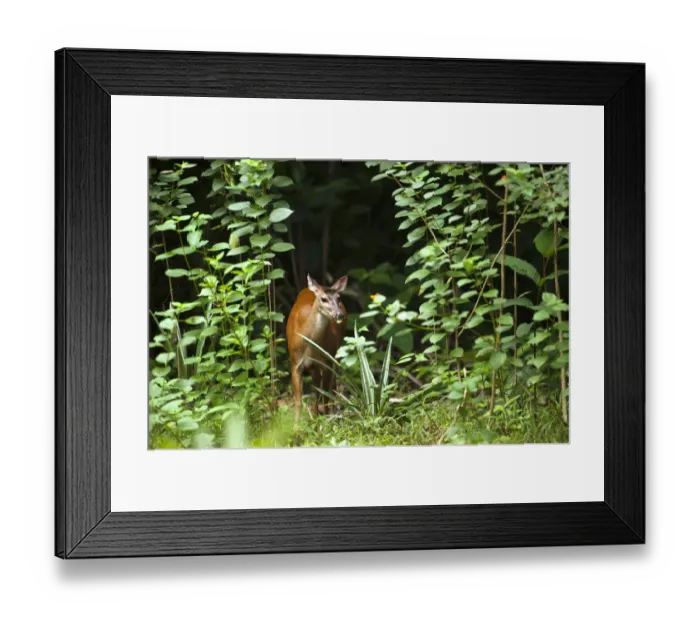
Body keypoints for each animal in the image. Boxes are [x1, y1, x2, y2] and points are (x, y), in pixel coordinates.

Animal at [286, 274, 348, 421]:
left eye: (339, 298)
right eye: (323, 299)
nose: (339, 315)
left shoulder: (327, 361)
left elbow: (325, 394)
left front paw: (326, 420)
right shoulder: (295, 362)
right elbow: (298, 401)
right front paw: (296, 425)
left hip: (335, 353)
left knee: (332, 386)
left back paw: (330, 412)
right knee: (317, 391)